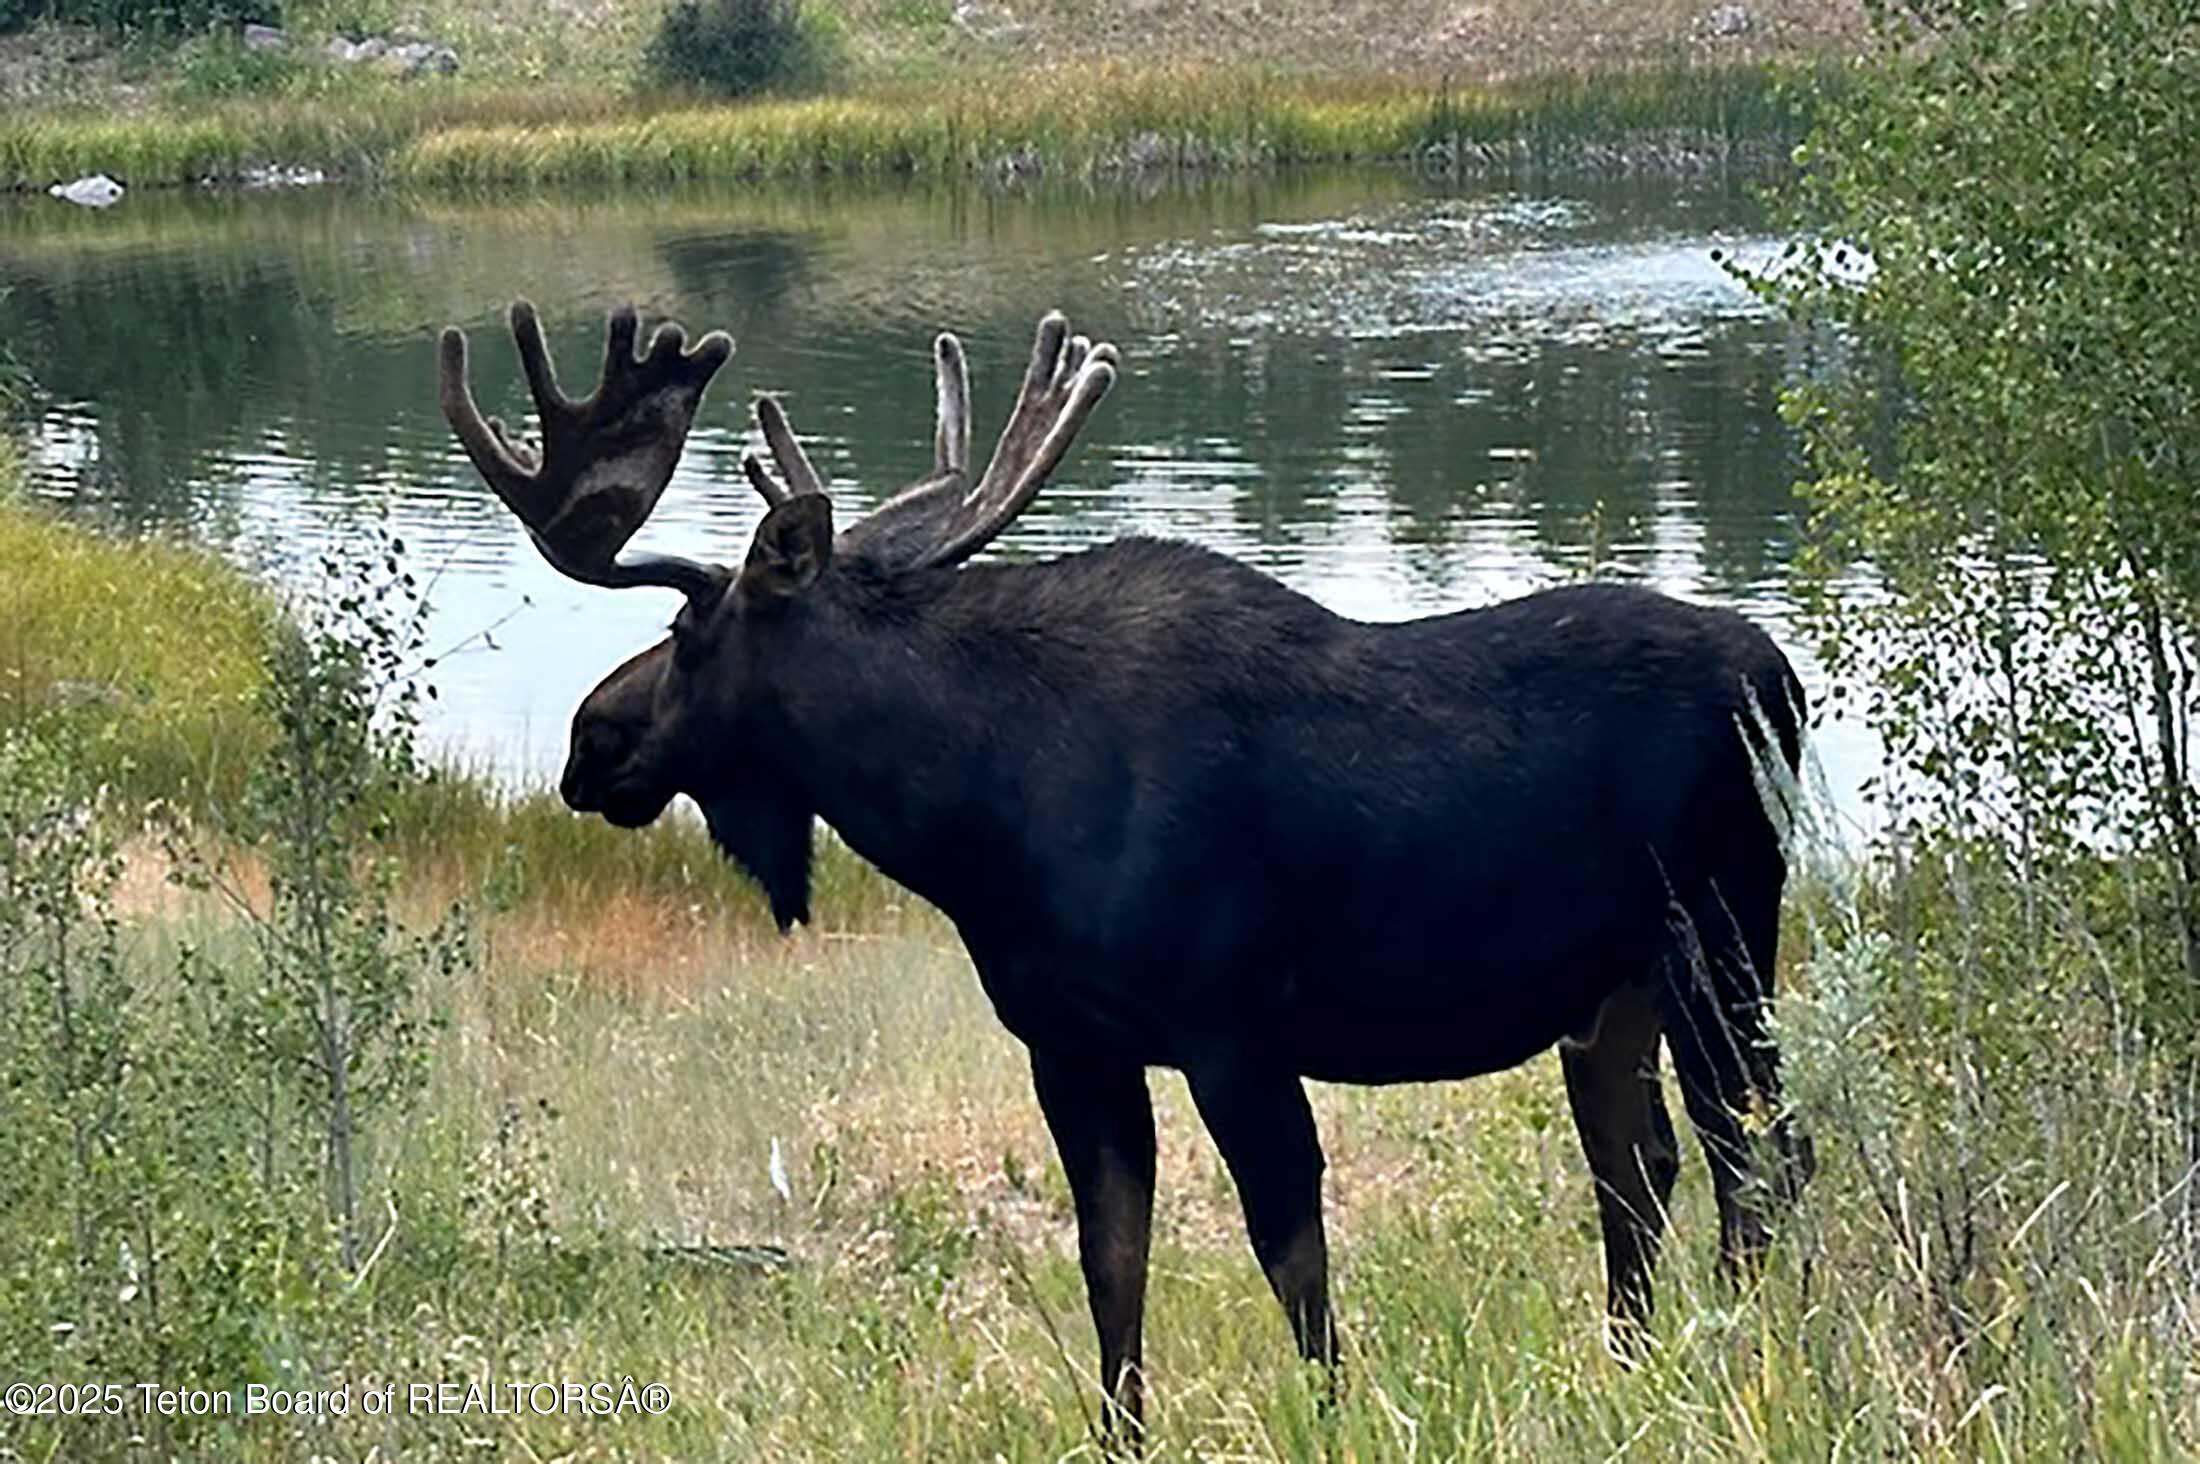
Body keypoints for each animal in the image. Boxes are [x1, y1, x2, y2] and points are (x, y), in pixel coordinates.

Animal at [438, 300, 1816, 1442]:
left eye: (685, 630)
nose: (590, 742)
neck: (971, 821)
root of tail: (1784, 678)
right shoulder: (1070, 1040)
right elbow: (1113, 1261)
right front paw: (1120, 1434)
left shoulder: (1230, 1026)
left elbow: (1291, 1256)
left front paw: (1335, 1416)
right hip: (1613, 993)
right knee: (1643, 1169)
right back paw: (1640, 1366)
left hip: (1719, 941)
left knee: (1759, 1153)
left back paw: (1750, 1352)